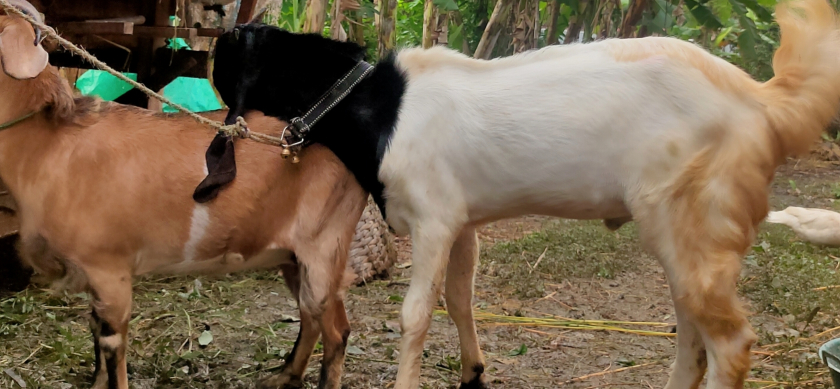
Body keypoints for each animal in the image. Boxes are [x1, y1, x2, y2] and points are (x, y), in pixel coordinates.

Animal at [0, 9, 368, 388]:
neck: (51, 145)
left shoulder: (109, 268)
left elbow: (111, 344)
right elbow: (96, 334)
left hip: (323, 246)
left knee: (336, 330)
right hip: (294, 256)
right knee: (311, 317)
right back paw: (284, 376)